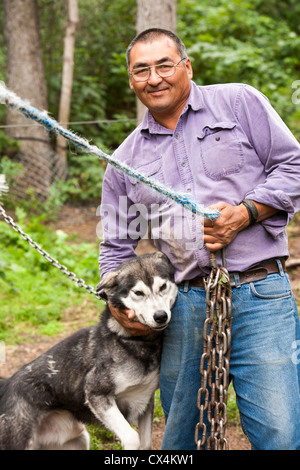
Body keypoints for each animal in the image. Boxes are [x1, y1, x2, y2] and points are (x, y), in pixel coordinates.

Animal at [0, 252, 178, 450]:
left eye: (163, 286)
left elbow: (145, 443)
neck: (135, 341)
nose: (161, 316)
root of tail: (7, 384)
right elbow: (133, 438)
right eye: (138, 293)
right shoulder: (96, 394)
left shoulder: (146, 399)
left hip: (79, 439)